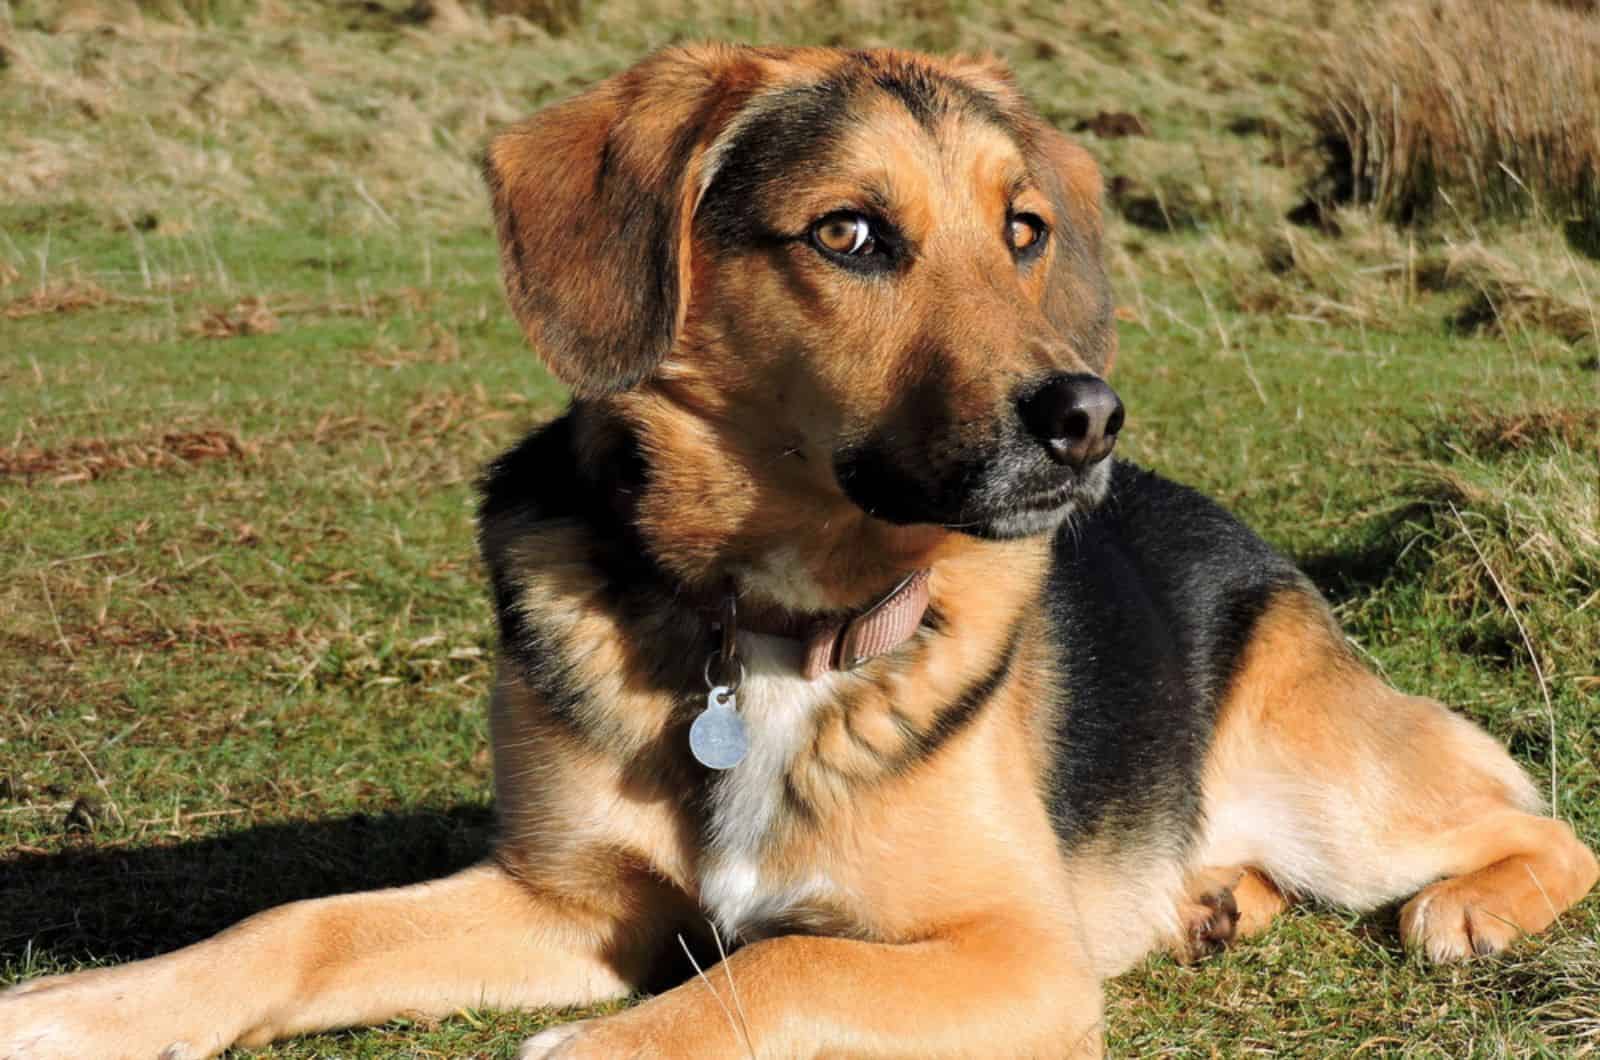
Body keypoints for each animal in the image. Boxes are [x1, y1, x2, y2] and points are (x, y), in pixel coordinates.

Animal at [3, 43, 1600, 1060]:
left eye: (1025, 231)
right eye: (848, 234)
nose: (1087, 421)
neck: (760, 625)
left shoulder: (1012, 953)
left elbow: (772, 967)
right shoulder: (562, 904)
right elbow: (296, 926)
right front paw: (85, 1008)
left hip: (1330, 784)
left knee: (1536, 826)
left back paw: (1468, 908)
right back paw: (1213, 902)